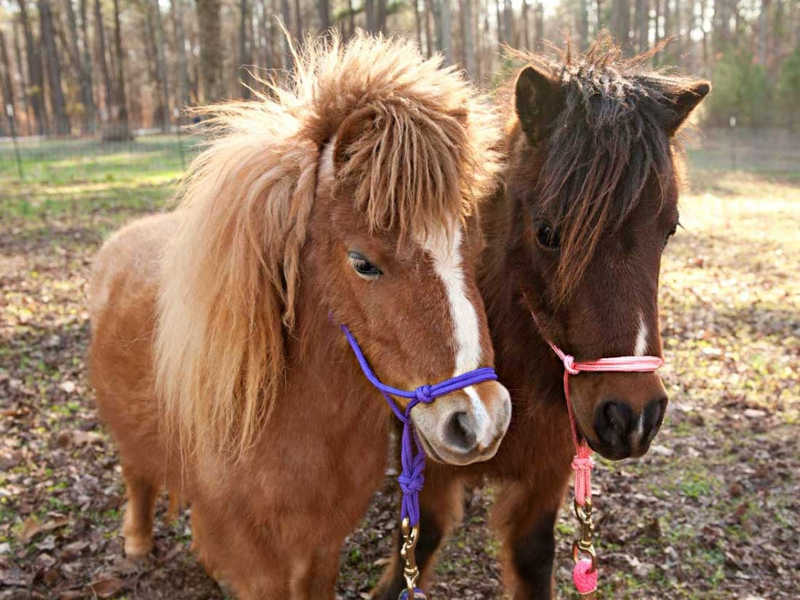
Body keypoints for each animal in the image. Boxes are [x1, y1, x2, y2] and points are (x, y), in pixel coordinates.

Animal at [87, 34, 512, 599]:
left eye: (475, 248)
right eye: (362, 262)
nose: (481, 419)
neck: (285, 422)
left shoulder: (322, 547)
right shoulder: (256, 564)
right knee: (136, 474)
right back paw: (136, 544)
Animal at [372, 41, 710, 599]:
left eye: (670, 229)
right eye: (548, 233)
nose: (633, 416)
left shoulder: (546, 475)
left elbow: (533, 558)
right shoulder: (431, 457)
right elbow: (418, 546)